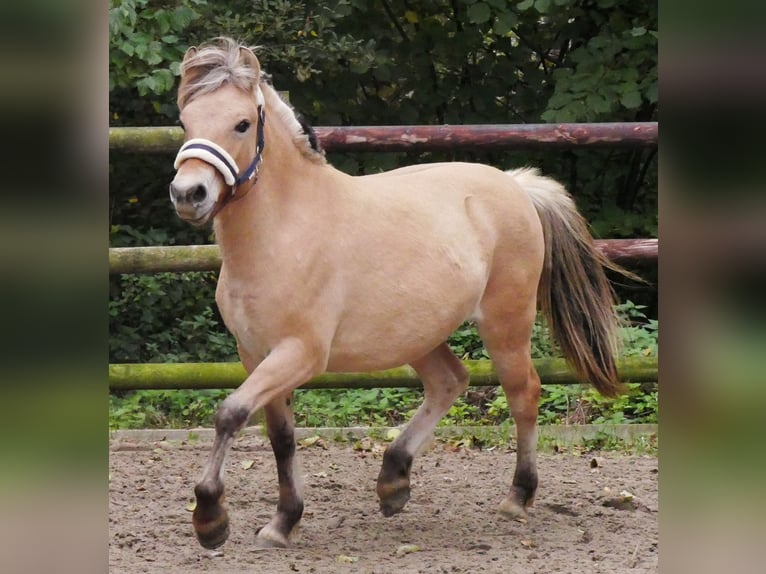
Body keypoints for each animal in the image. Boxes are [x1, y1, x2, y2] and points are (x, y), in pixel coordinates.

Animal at [169, 37, 627, 550]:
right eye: (185, 121)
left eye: (242, 123)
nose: (189, 194)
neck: (285, 231)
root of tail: (516, 184)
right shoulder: (254, 354)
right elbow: (280, 437)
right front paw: (283, 522)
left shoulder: (300, 353)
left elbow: (229, 414)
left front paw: (210, 518)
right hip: (418, 334)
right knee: (450, 381)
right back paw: (393, 480)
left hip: (506, 322)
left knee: (522, 392)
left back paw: (516, 497)